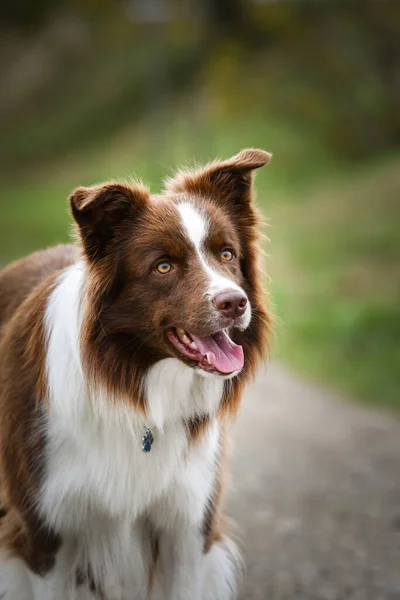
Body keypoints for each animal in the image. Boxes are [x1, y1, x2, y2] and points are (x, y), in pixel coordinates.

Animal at [0, 148, 272, 596]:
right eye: (163, 267)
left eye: (227, 254)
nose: (235, 303)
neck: (138, 390)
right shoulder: (43, 534)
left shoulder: (189, 525)